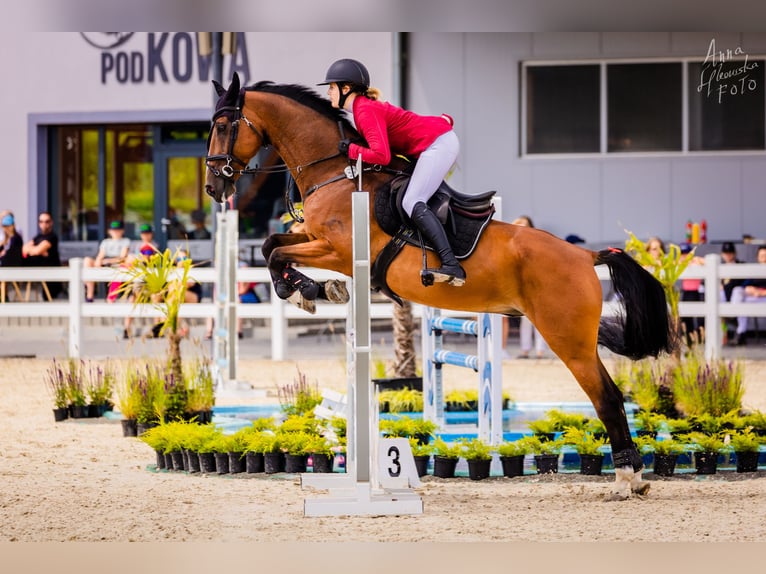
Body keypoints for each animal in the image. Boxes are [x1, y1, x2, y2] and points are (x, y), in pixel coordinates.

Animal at [204, 73, 675, 500]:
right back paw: (634, 478)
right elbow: (273, 244)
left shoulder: (335, 250)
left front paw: (305, 290)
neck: (335, 172)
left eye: (224, 124)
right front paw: (313, 290)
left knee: (607, 399)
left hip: (568, 339)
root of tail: (586, 256)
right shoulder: (312, 238)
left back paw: (625, 480)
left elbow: (275, 254)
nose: (213, 186)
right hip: (576, 338)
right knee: (611, 396)